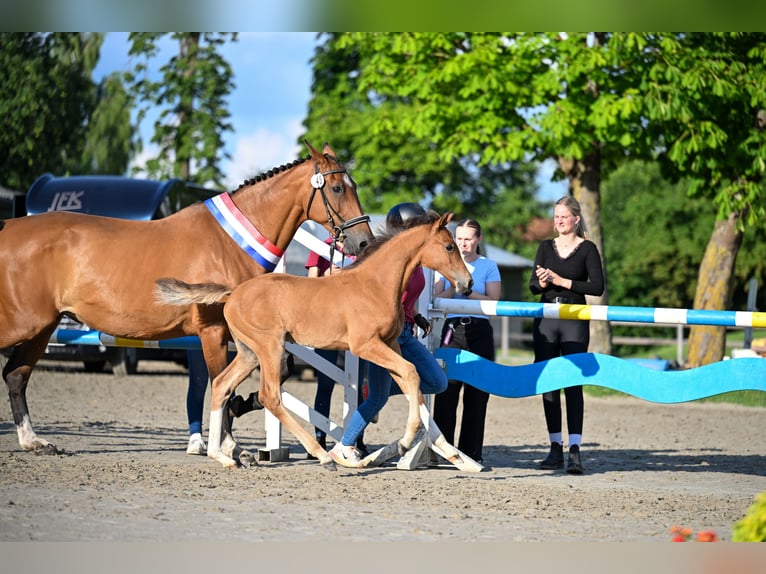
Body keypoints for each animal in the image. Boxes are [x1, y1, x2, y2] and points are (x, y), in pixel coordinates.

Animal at [0, 141, 374, 456]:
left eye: (354, 185)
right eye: (337, 188)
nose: (364, 243)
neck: (231, 243)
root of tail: (7, 228)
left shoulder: (246, 336)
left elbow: (272, 373)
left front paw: (240, 421)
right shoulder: (214, 331)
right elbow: (222, 382)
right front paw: (230, 445)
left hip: (42, 328)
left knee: (16, 375)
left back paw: (34, 442)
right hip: (25, 324)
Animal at [154, 210, 474, 469]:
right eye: (449, 246)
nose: (468, 283)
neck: (375, 284)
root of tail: (233, 293)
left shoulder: (391, 344)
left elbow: (411, 381)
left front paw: (408, 445)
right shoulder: (365, 345)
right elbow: (410, 374)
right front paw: (404, 443)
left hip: (247, 352)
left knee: (222, 384)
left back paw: (222, 456)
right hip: (270, 348)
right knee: (269, 395)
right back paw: (320, 455)